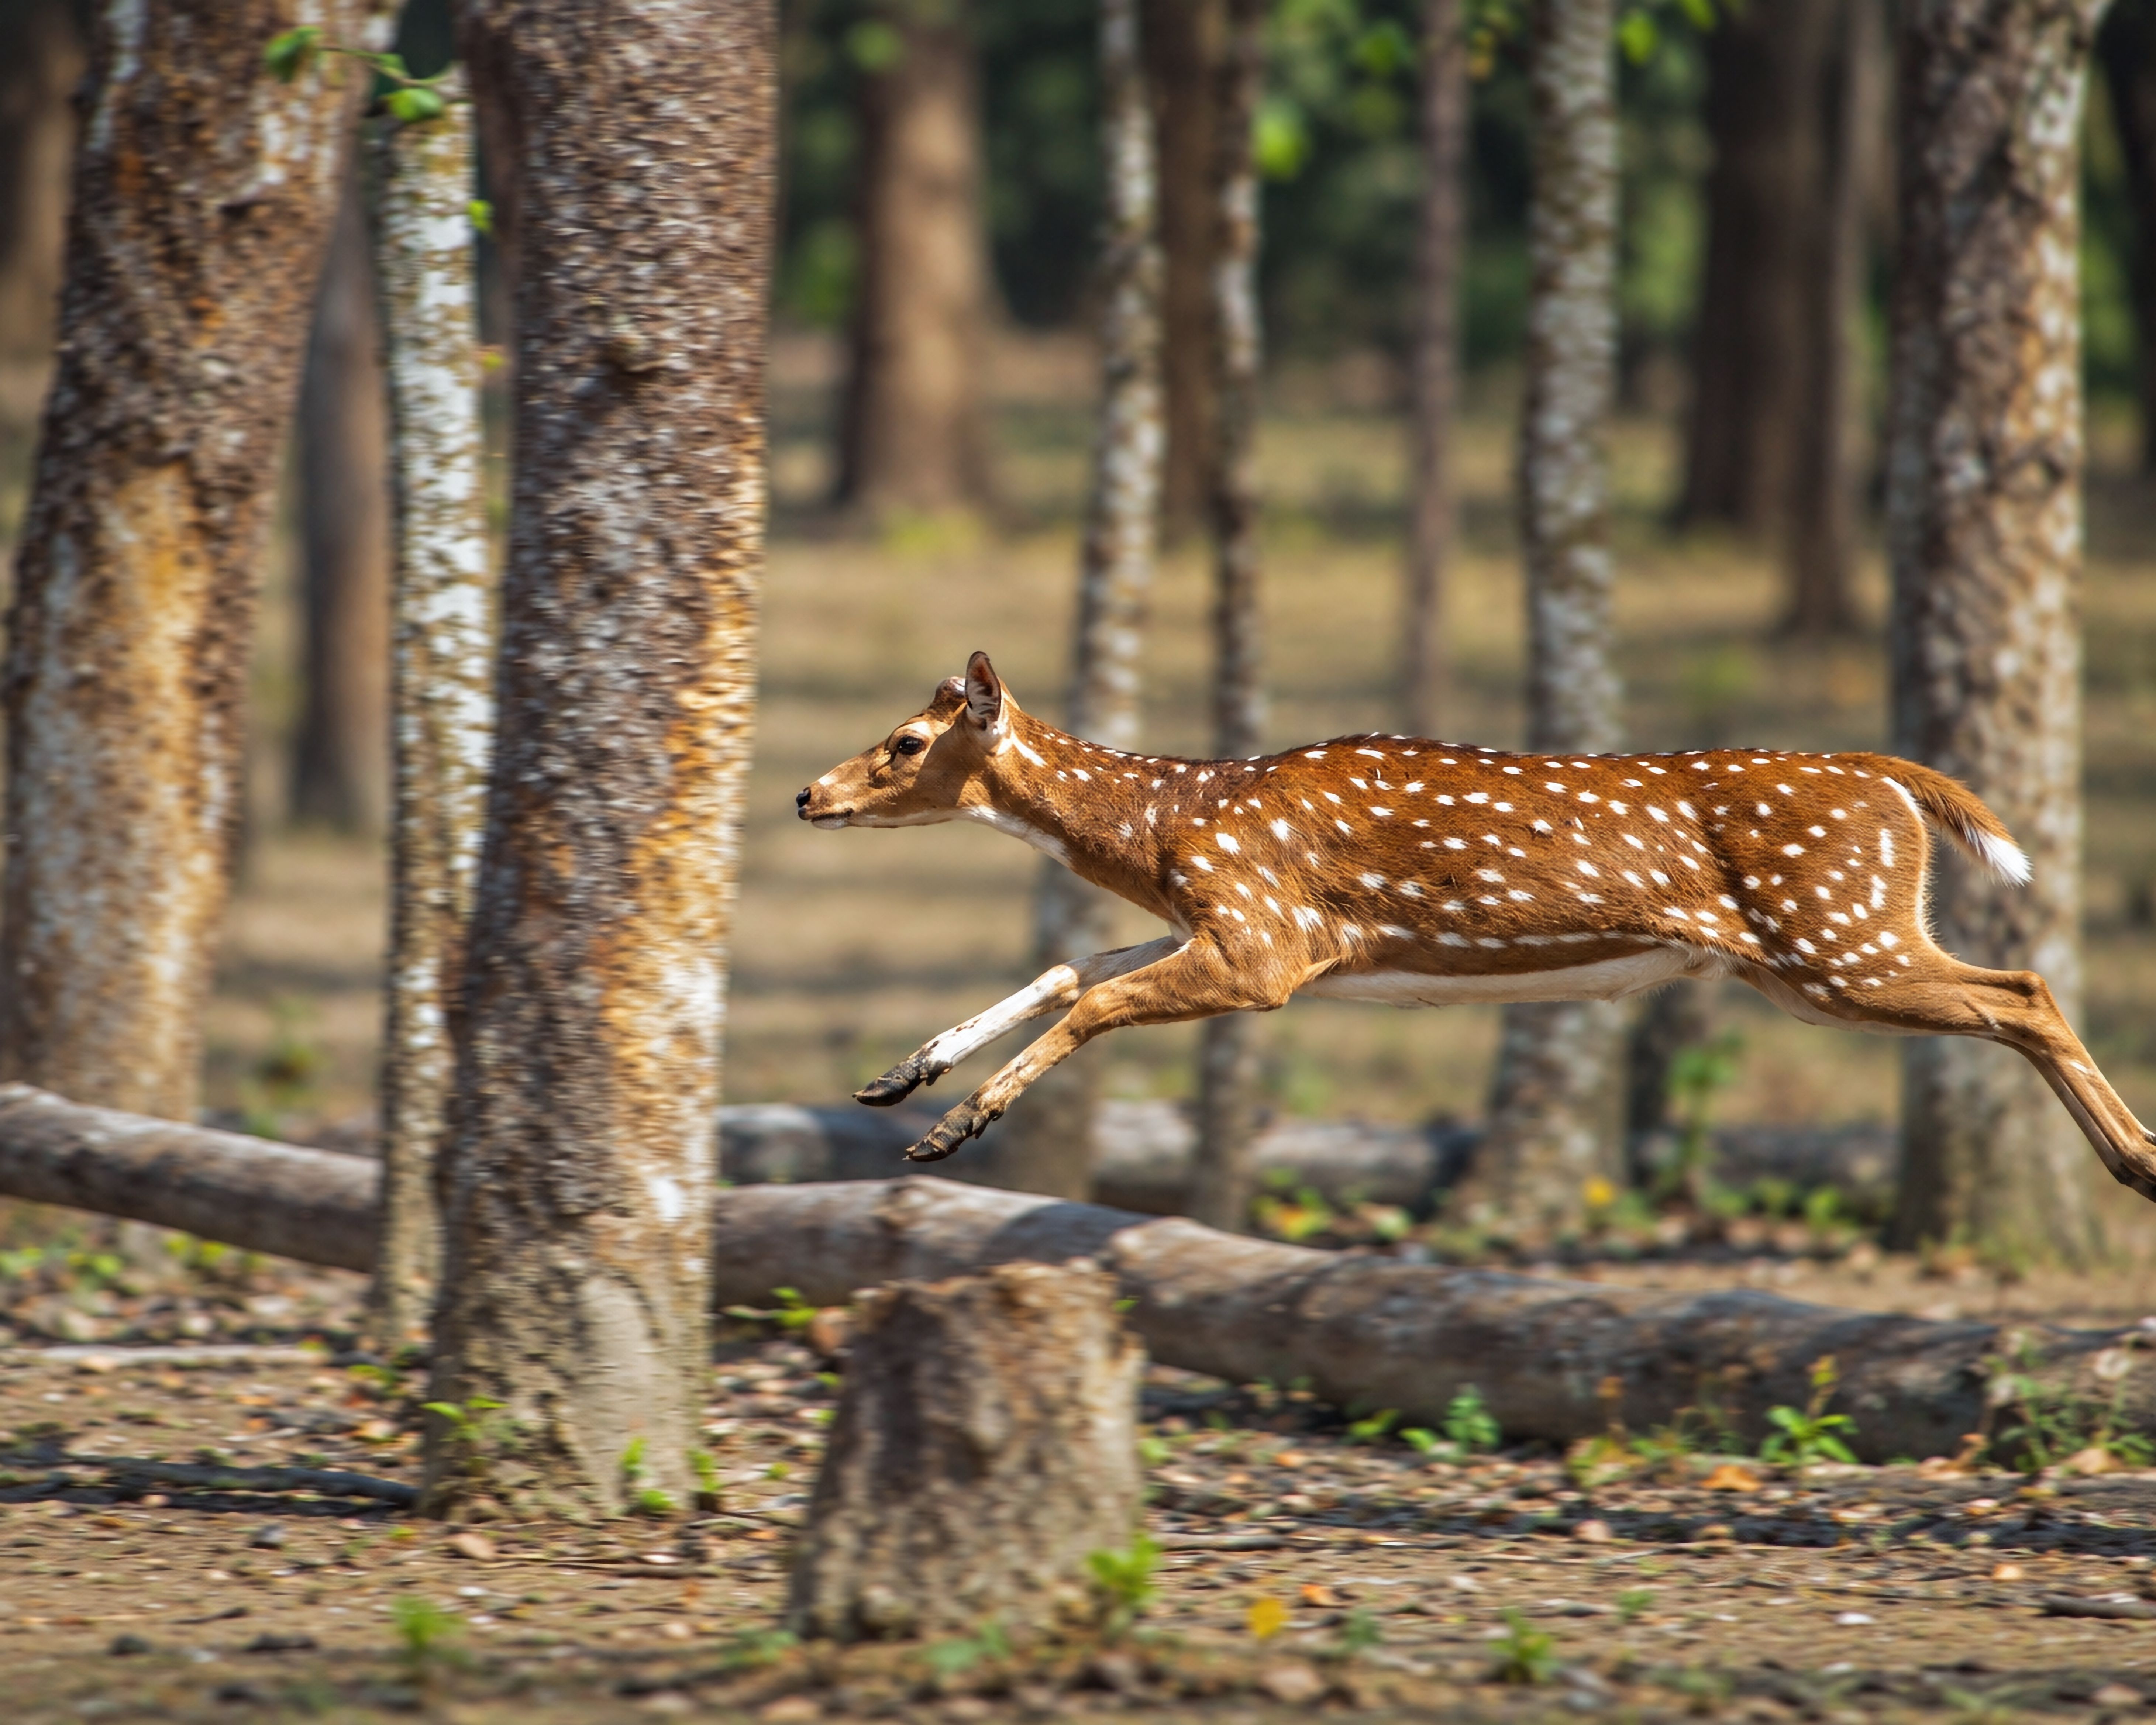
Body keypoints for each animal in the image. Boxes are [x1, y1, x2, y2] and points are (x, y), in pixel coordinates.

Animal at [795, 651, 2156, 1203]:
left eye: (905, 742)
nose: (810, 793)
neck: (1176, 825)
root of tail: (1892, 782)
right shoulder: (1241, 929)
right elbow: (1071, 960)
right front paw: (898, 1076)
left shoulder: (1267, 944)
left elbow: (1096, 994)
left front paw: (954, 1129)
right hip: (1832, 945)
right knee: (2016, 988)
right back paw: (2137, 1160)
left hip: (1836, 938)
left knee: (2023, 985)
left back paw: (2137, 1160)